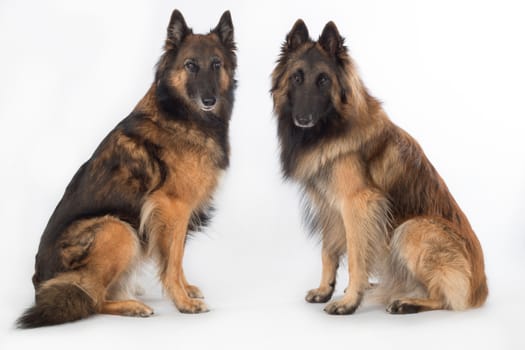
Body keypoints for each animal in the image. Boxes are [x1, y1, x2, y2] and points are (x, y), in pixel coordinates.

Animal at [17, 10, 236, 328]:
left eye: (216, 64)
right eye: (190, 65)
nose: (209, 100)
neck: (180, 113)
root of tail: (37, 285)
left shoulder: (176, 214)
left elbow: (177, 256)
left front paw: (186, 290)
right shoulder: (172, 207)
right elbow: (172, 260)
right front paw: (182, 301)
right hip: (117, 229)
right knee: (92, 299)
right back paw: (132, 307)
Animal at [270, 19, 488, 314]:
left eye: (323, 80)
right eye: (297, 77)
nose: (303, 118)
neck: (333, 126)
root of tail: (481, 290)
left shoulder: (358, 204)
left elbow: (355, 257)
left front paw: (350, 301)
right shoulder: (329, 205)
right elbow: (328, 251)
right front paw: (326, 290)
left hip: (413, 229)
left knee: (444, 298)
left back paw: (407, 302)